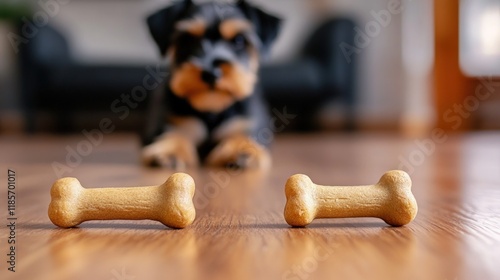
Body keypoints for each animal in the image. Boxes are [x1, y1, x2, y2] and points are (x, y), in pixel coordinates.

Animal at [143, 0, 280, 170]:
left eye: (239, 40)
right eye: (187, 39)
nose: (211, 74)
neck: (211, 110)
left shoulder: (244, 122)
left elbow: (241, 134)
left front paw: (239, 149)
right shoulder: (174, 121)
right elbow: (174, 133)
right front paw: (170, 150)